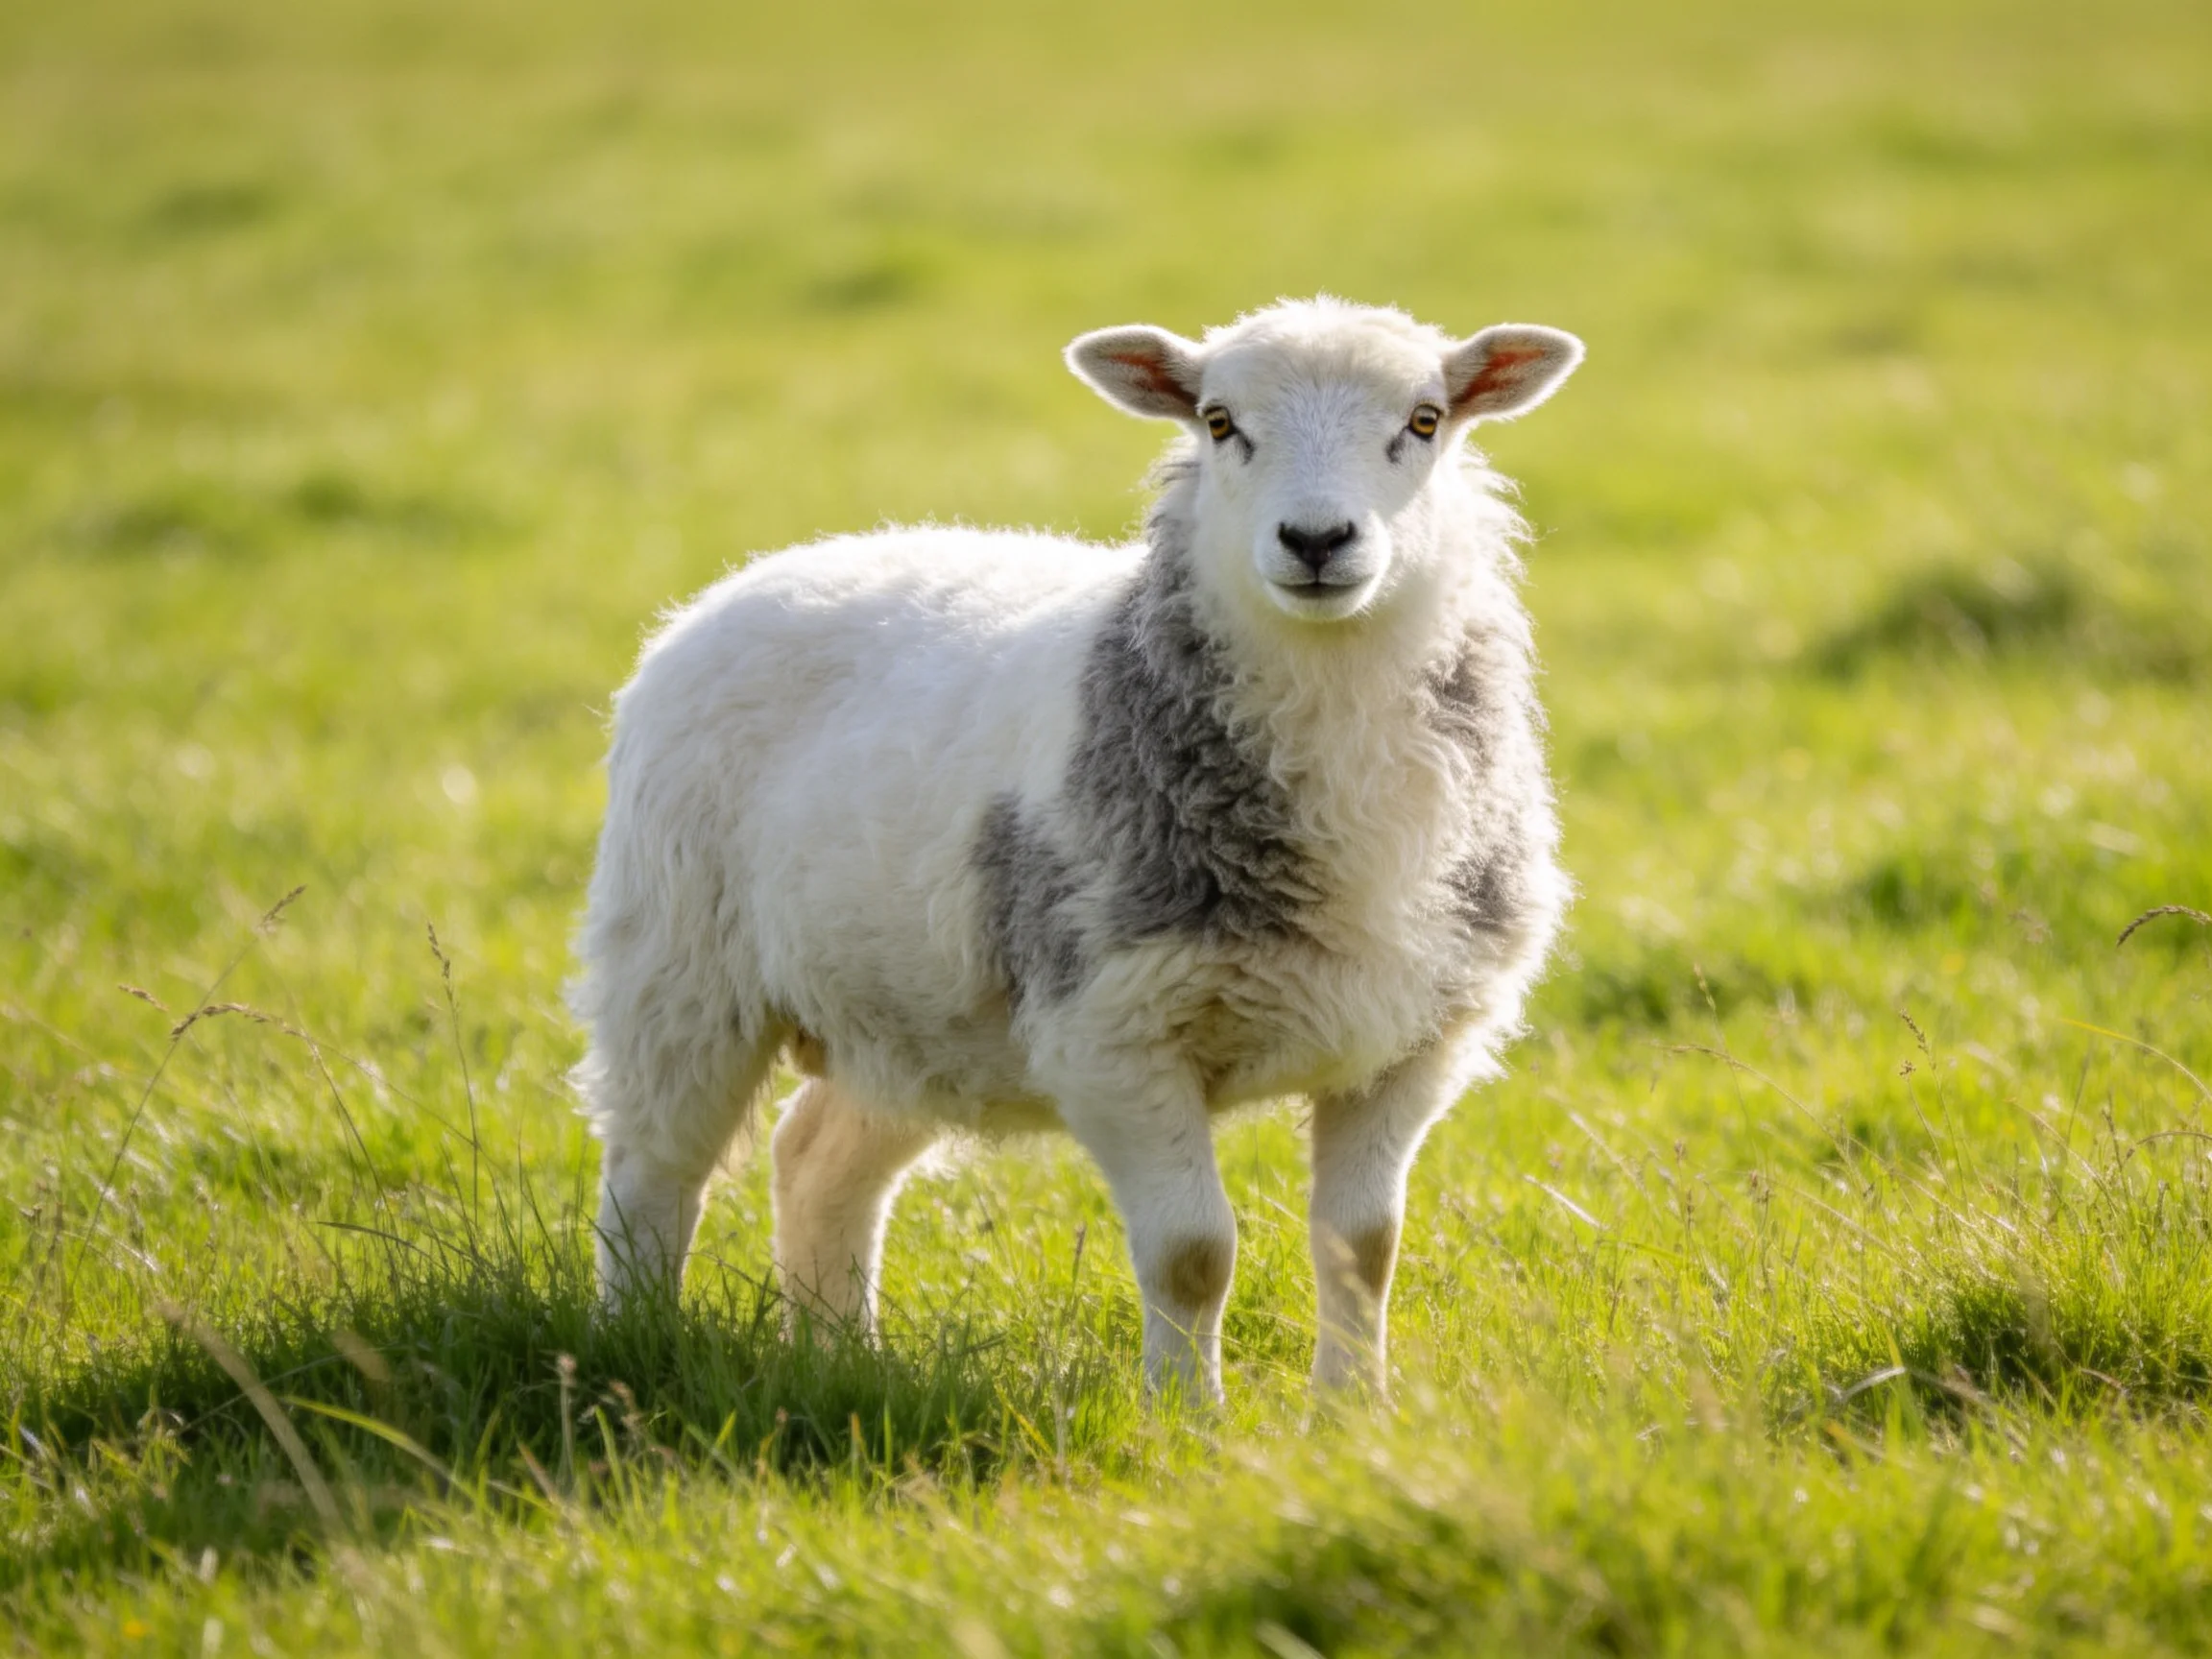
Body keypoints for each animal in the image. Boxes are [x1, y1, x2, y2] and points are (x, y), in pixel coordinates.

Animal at [569, 297, 1583, 1400]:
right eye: (1220, 423)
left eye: (1426, 420)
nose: (1317, 539)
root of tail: (757, 574)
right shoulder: (1114, 1029)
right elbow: (1193, 1255)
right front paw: (1189, 1421)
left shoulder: (1414, 1040)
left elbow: (1364, 1246)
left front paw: (1352, 1416)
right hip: (679, 961)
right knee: (651, 1173)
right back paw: (631, 1349)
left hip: (908, 1013)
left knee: (815, 1159)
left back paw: (844, 1363)